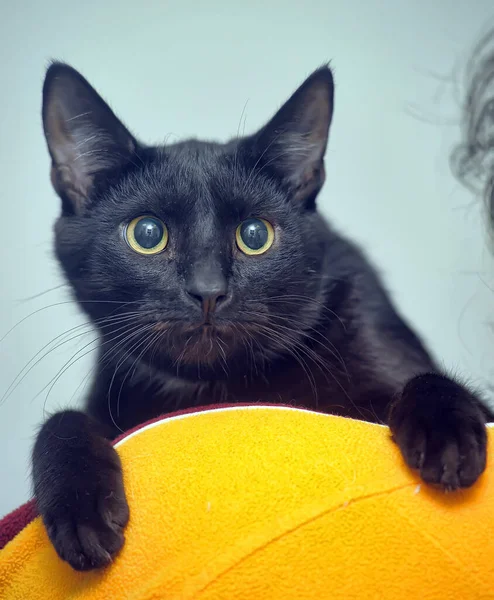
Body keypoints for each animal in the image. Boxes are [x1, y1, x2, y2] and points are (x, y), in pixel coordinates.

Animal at [32, 62, 492, 572]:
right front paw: (80, 510)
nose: (208, 290)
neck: (221, 387)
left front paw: (446, 433)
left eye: (255, 235)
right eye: (147, 234)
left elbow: (422, 380)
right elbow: (62, 420)